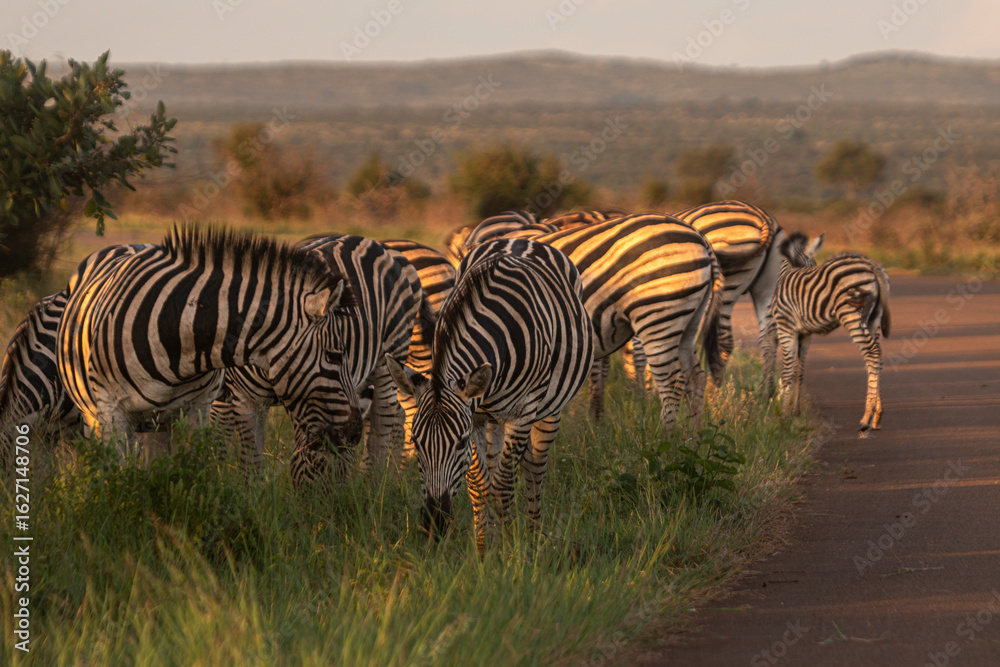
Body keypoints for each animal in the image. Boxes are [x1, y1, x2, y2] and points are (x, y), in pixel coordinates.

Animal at [56, 226, 361, 461]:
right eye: (335, 355)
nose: (355, 434)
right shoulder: (113, 414)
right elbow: (118, 479)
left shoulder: (197, 409)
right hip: (93, 415)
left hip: (157, 424)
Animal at [212, 234, 421, 486]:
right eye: (334, 355)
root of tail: (374, 243)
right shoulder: (246, 400)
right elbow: (251, 465)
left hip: (389, 357)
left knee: (383, 422)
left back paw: (373, 482)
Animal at [386, 238, 595, 551]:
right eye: (416, 443)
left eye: (459, 443)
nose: (435, 524)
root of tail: (522, 239)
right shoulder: (474, 415)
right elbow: (479, 483)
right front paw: (485, 546)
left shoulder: (523, 413)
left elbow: (503, 485)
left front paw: (510, 549)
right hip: (493, 418)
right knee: (499, 464)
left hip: (549, 409)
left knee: (534, 468)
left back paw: (534, 533)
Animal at [452, 212, 725, 430]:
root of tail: (699, 237)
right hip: (688, 321)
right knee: (695, 377)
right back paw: (692, 439)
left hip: (658, 314)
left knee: (671, 382)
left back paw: (664, 442)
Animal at [771, 232, 891, 435]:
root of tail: (872, 266)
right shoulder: (805, 334)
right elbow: (798, 370)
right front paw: (795, 410)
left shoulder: (785, 327)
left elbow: (786, 370)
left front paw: (783, 416)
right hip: (873, 320)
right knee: (877, 358)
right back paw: (877, 415)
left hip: (851, 314)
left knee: (872, 353)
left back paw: (866, 417)